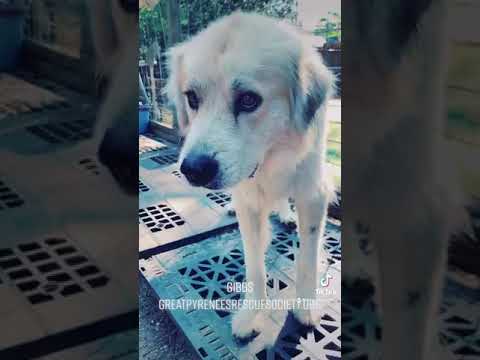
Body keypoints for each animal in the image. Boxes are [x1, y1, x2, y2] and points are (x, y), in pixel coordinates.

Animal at [165, 11, 334, 338]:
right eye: (192, 98)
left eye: (248, 100)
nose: (193, 169)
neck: (274, 157)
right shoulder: (250, 202)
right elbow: (254, 265)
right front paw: (251, 314)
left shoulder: (313, 196)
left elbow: (308, 263)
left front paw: (305, 309)